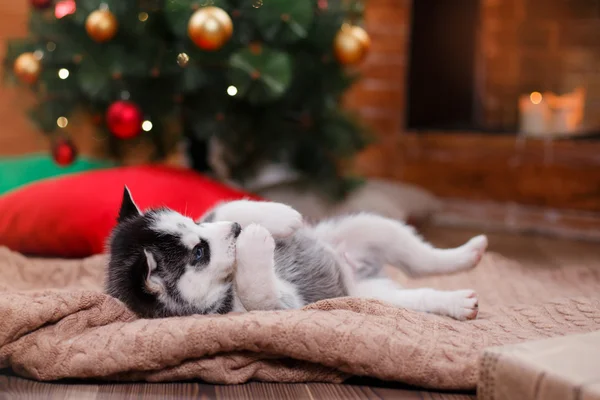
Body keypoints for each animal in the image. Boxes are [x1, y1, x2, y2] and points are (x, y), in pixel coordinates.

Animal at [106, 188, 488, 322]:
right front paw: (254, 242)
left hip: (371, 227)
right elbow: (259, 293)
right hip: (374, 296)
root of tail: (357, 273)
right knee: (420, 291)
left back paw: (468, 252)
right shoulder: (281, 304)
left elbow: (227, 205)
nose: (237, 230)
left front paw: (278, 216)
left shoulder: (216, 213)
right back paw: (457, 301)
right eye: (199, 253)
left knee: (421, 258)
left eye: (193, 223)